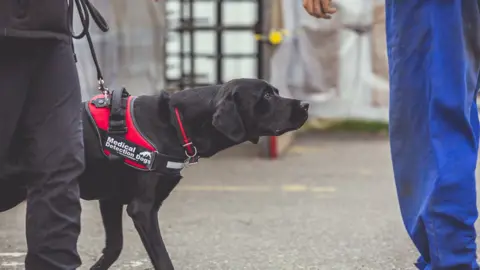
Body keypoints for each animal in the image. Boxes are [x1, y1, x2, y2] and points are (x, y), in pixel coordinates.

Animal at [0, 77, 308, 268]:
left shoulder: (111, 200)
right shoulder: (142, 208)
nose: (305, 105)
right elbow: (162, 259)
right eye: (266, 95)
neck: (175, 122)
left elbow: (114, 248)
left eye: (275, 91)